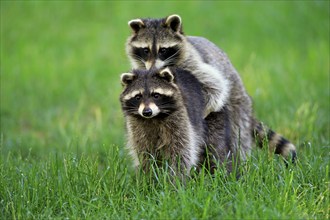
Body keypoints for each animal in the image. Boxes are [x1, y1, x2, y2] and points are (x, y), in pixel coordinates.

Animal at [125, 14, 296, 165]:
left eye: (163, 50)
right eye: (145, 50)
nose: (153, 69)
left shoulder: (192, 64)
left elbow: (216, 87)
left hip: (238, 104)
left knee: (238, 134)